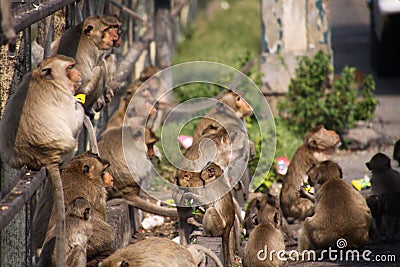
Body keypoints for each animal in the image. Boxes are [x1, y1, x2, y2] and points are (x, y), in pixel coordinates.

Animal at [0, 54, 84, 266]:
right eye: (70, 67)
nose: (78, 74)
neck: (45, 78)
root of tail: (43, 158)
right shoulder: (63, 96)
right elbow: (74, 118)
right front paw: (80, 104)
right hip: (66, 149)